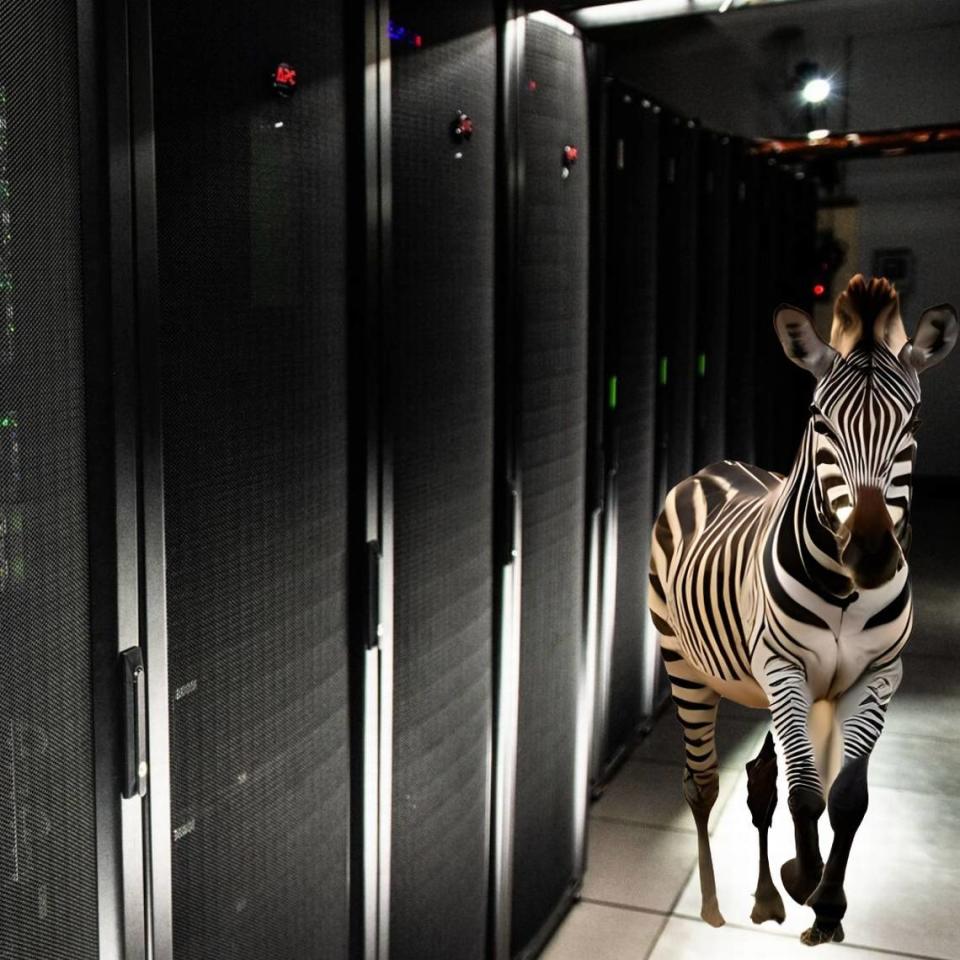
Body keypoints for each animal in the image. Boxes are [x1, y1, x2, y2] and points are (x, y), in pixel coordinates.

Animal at [648, 276, 956, 944]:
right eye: (819, 419)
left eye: (915, 419)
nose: (871, 553)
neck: (844, 590)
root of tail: (718, 464)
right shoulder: (784, 668)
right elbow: (807, 796)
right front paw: (808, 882)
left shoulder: (877, 676)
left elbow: (844, 798)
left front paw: (826, 901)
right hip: (687, 665)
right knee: (703, 784)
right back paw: (714, 905)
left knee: (764, 780)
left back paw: (768, 895)